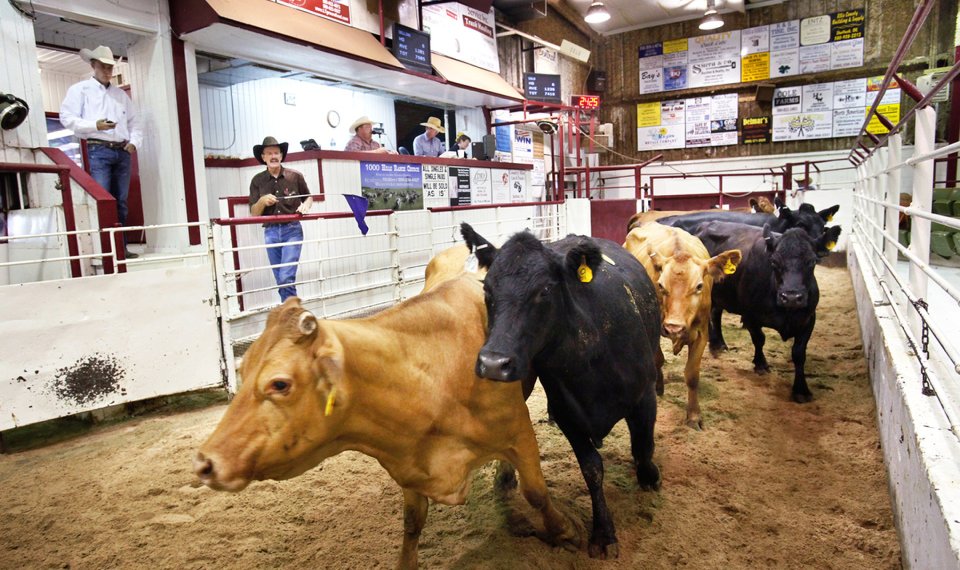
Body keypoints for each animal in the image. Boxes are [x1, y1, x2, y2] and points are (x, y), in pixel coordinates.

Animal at [193, 278, 581, 570]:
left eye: (279, 383)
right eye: (243, 370)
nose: (205, 463)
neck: (430, 374)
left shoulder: (519, 432)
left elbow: (537, 492)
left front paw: (564, 531)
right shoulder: (410, 465)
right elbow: (412, 523)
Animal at [462, 223, 661, 559]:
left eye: (544, 290)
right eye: (487, 290)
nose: (493, 363)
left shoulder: (644, 396)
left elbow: (643, 446)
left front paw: (649, 476)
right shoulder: (568, 413)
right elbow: (592, 469)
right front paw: (603, 533)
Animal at [624, 222, 741, 429]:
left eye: (699, 286)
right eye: (661, 286)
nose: (674, 327)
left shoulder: (702, 333)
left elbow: (692, 375)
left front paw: (694, 415)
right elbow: (658, 360)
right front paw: (658, 386)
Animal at [693, 221, 842, 403]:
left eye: (812, 261)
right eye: (774, 262)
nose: (791, 297)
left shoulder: (808, 319)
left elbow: (799, 353)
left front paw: (801, 389)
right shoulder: (750, 316)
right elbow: (759, 339)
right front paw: (761, 364)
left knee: (716, 313)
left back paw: (719, 343)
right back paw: (714, 344)